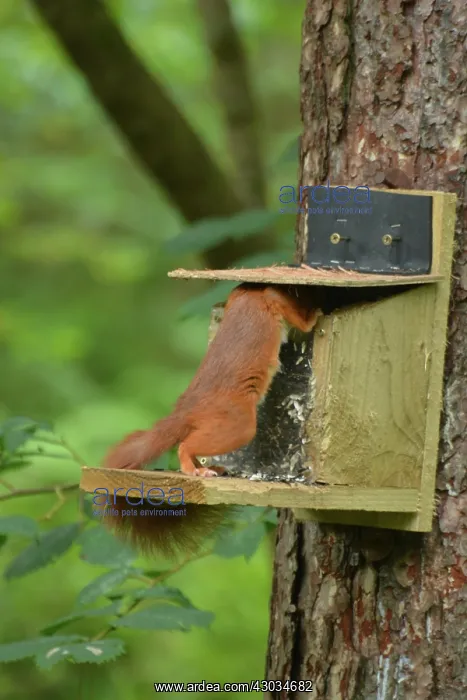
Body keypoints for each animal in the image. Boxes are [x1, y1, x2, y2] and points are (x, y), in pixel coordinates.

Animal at [100, 283, 322, 557]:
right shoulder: (274, 299)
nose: (318, 300)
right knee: (186, 445)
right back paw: (194, 469)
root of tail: (188, 410)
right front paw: (314, 316)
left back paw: (210, 467)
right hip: (238, 425)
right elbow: (299, 320)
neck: (251, 292)